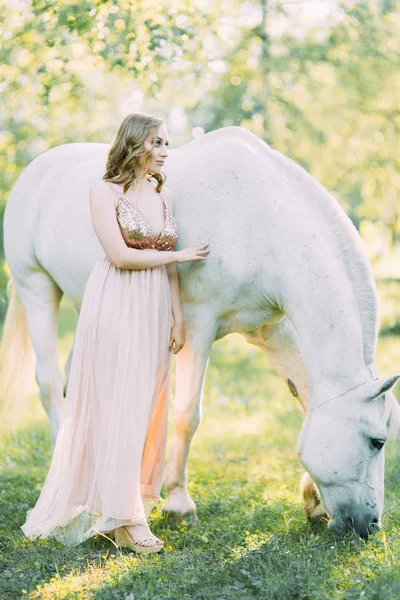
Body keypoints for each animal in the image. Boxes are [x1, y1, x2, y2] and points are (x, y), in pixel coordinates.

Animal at [0, 126, 400, 540]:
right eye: (377, 441)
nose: (370, 524)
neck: (258, 221)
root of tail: (36, 169)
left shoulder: (271, 331)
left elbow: (306, 398)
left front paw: (314, 500)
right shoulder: (196, 328)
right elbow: (187, 415)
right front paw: (179, 505)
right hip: (37, 289)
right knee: (49, 383)